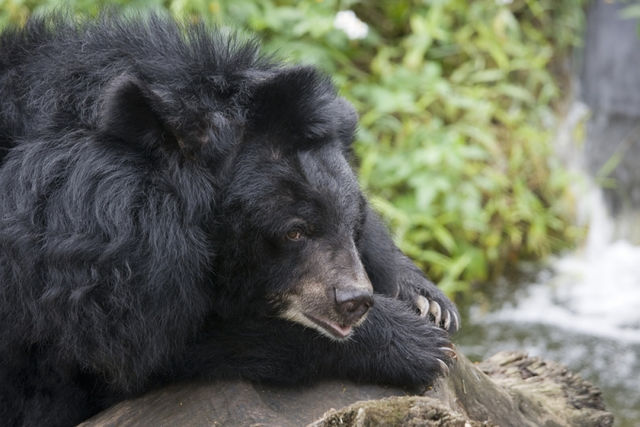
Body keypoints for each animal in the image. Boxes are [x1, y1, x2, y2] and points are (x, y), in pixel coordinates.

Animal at [0, 13, 459, 427]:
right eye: (294, 232)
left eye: (352, 225)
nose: (354, 302)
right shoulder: (88, 281)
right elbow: (157, 348)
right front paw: (420, 344)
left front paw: (429, 302)